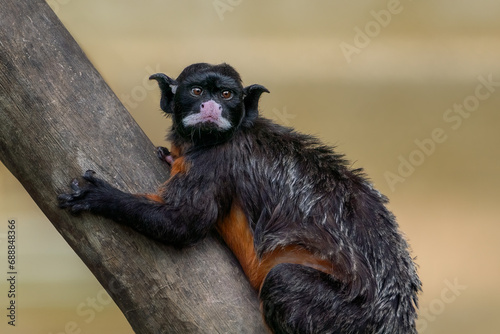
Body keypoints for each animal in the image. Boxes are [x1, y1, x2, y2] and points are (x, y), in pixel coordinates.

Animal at [59, 63, 422, 334]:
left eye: (226, 94)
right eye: (197, 92)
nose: (211, 106)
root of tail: (395, 316)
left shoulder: (216, 161)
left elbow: (183, 224)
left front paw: (100, 196)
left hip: (351, 319)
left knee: (283, 280)